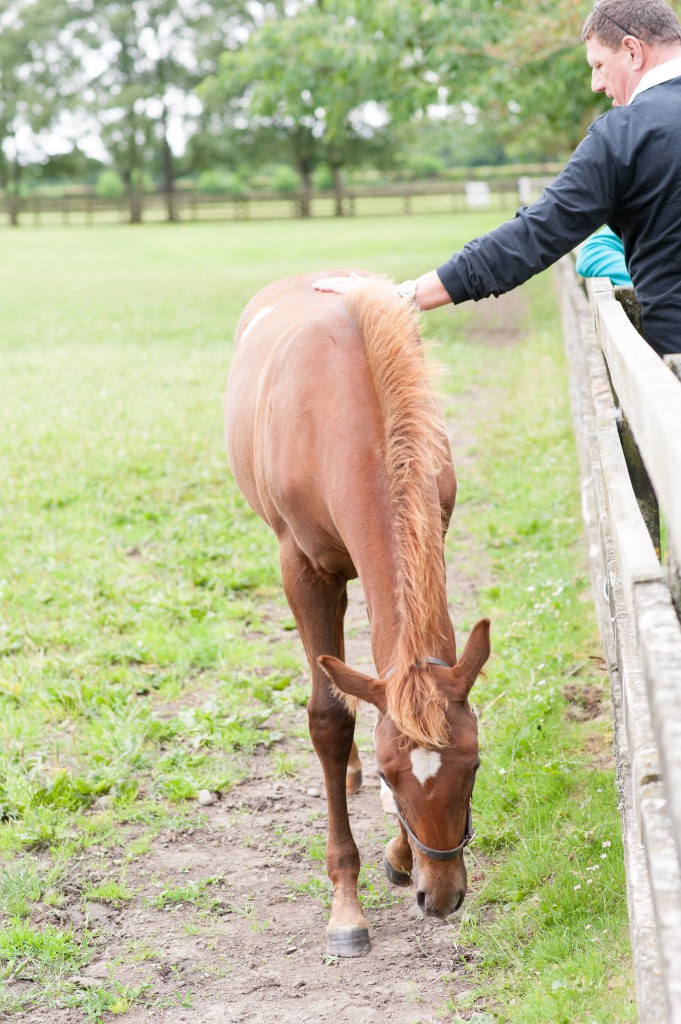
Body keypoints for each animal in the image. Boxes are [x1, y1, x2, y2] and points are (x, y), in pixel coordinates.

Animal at [224, 268, 489, 954]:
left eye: (474, 766)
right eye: (394, 777)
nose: (441, 896)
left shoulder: (430, 536)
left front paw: (397, 857)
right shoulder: (303, 570)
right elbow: (329, 719)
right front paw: (347, 905)